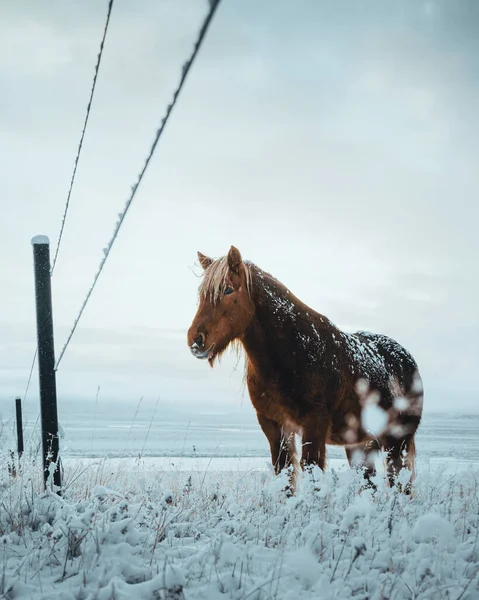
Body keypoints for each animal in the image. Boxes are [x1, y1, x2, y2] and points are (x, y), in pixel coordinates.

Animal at [188, 245, 424, 492]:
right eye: (201, 294)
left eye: (227, 290)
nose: (196, 340)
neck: (293, 352)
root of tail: (406, 358)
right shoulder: (273, 424)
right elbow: (285, 476)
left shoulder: (314, 423)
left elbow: (312, 473)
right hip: (361, 444)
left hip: (398, 441)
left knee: (400, 483)